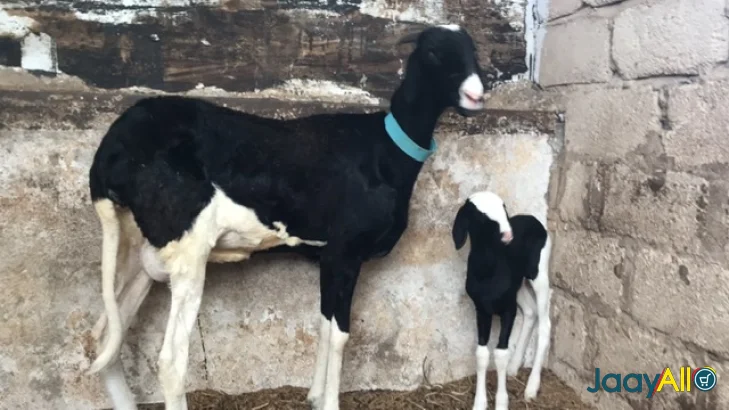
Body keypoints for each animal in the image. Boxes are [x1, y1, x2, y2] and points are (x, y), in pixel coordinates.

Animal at [86, 25, 492, 410]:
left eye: (473, 51)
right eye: (434, 53)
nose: (477, 95)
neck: (387, 151)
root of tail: (111, 149)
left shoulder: (328, 256)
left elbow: (325, 325)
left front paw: (314, 396)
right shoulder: (346, 251)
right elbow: (341, 334)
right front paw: (329, 402)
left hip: (139, 246)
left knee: (104, 338)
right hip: (186, 245)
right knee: (170, 360)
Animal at [451, 191, 552, 410]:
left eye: (504, 208)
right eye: (481, 215)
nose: (508, 236)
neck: (489, 269)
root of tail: (533, 219)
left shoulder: (508, 310)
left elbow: (500, 354)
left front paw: (501, 402)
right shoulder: (482, 309)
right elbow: (482, 354)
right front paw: (480, 403)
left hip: (539, 274)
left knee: (545, 324)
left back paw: (531, 387)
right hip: (518, 287)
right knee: (530, 312)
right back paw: (514, 367)